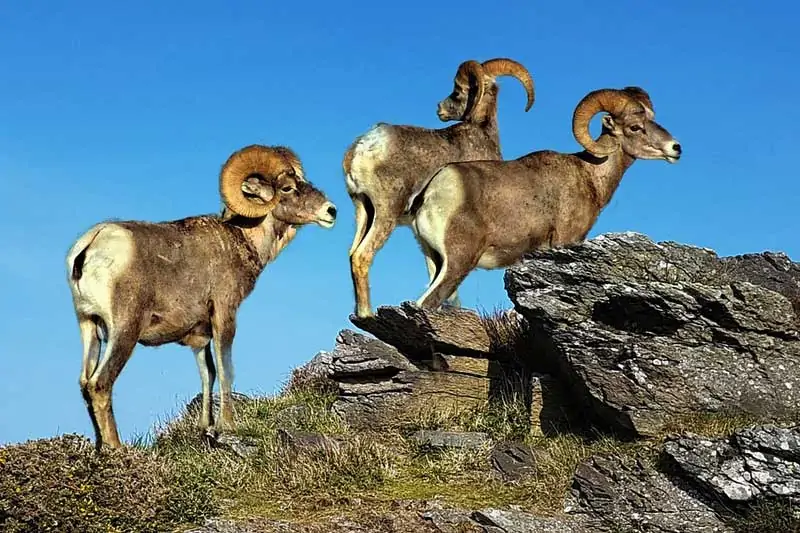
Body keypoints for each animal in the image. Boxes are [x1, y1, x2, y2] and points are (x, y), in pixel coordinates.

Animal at [65, 143, 334, 446]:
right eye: (288, 188)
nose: (330, 211)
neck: (242, 239)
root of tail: (91, 245)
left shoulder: (200, 335)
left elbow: (209, 374)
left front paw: (207, 426)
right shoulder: (224, 315)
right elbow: (226, 368)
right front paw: (228, 425)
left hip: (90, 327)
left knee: (85, 383)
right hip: (124, 331)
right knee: (100, 384)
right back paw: (115, 448)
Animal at [342, 57, 536, 316]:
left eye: (457, 91)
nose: (439, 108)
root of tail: (364, 146)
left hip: (364, 211)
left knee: (352, 253)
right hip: (386, 212)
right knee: (362, 256)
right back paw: (367, 314)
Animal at [406, 85, 680, 306]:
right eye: (635, 127)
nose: (676, 148)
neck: (589, 175)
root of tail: (431, 191)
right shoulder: (565, 239)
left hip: (435, 261)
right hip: (459, 262)